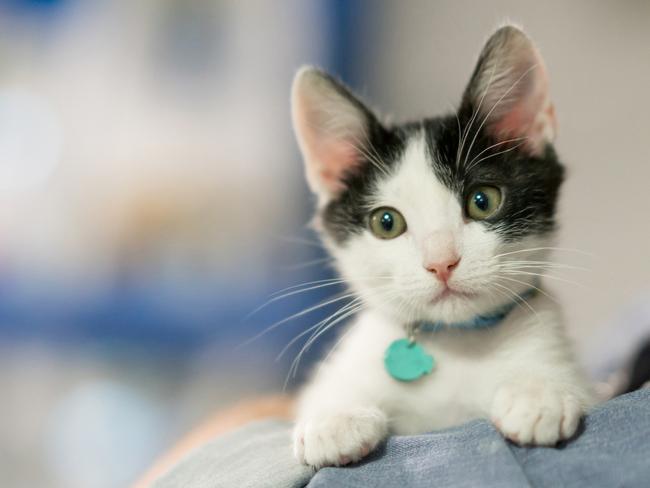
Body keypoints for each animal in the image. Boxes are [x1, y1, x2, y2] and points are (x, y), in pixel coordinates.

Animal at [288, 24, 592, 468]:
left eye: (482, 201)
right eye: (386, 222)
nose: (441, 262)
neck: (454, 345)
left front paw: (540, 393)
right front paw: (336, 417)